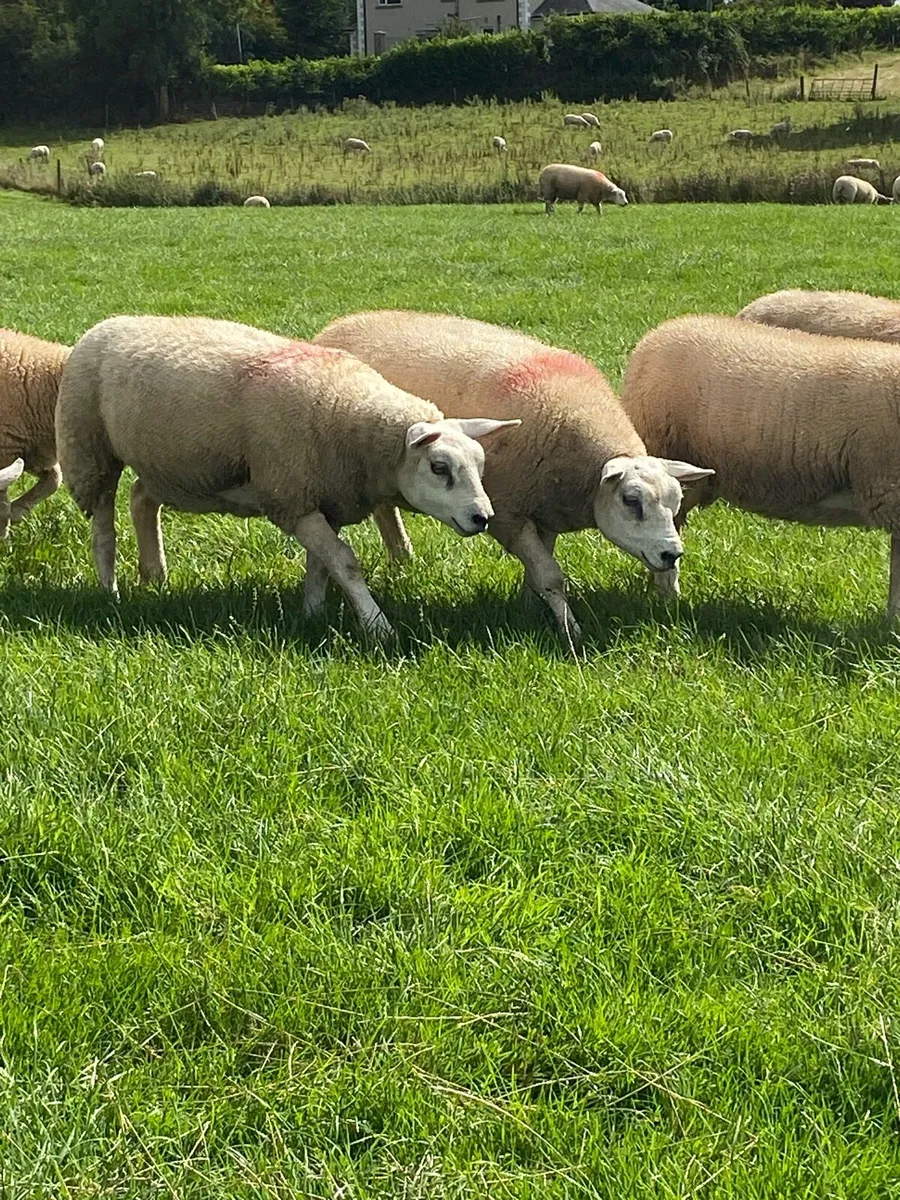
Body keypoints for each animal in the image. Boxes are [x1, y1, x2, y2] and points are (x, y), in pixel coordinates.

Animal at [55, 315, 518, 639]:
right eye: (439, 467)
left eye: (480, 465)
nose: (483, 518)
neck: (350, 419)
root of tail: (107, 323)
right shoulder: (290, 496)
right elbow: (345, 562)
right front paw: (377, 626)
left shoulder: (321, 497)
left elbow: (321, 564)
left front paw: (313, 613)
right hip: (89, 449)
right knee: (103, 526)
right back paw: (110, 589)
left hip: (171, 464)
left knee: (141, 499)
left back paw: (155, 576)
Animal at [314, 311, 713, 647]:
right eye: (631, 500)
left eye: (676, 502)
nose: (672, 554)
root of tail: (339, 323)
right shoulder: (507, 514)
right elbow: (550, 575)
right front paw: (570, 631)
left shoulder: (546, 510)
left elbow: (539, 570)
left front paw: (528, 607)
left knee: (384, 511)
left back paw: (403, 559)